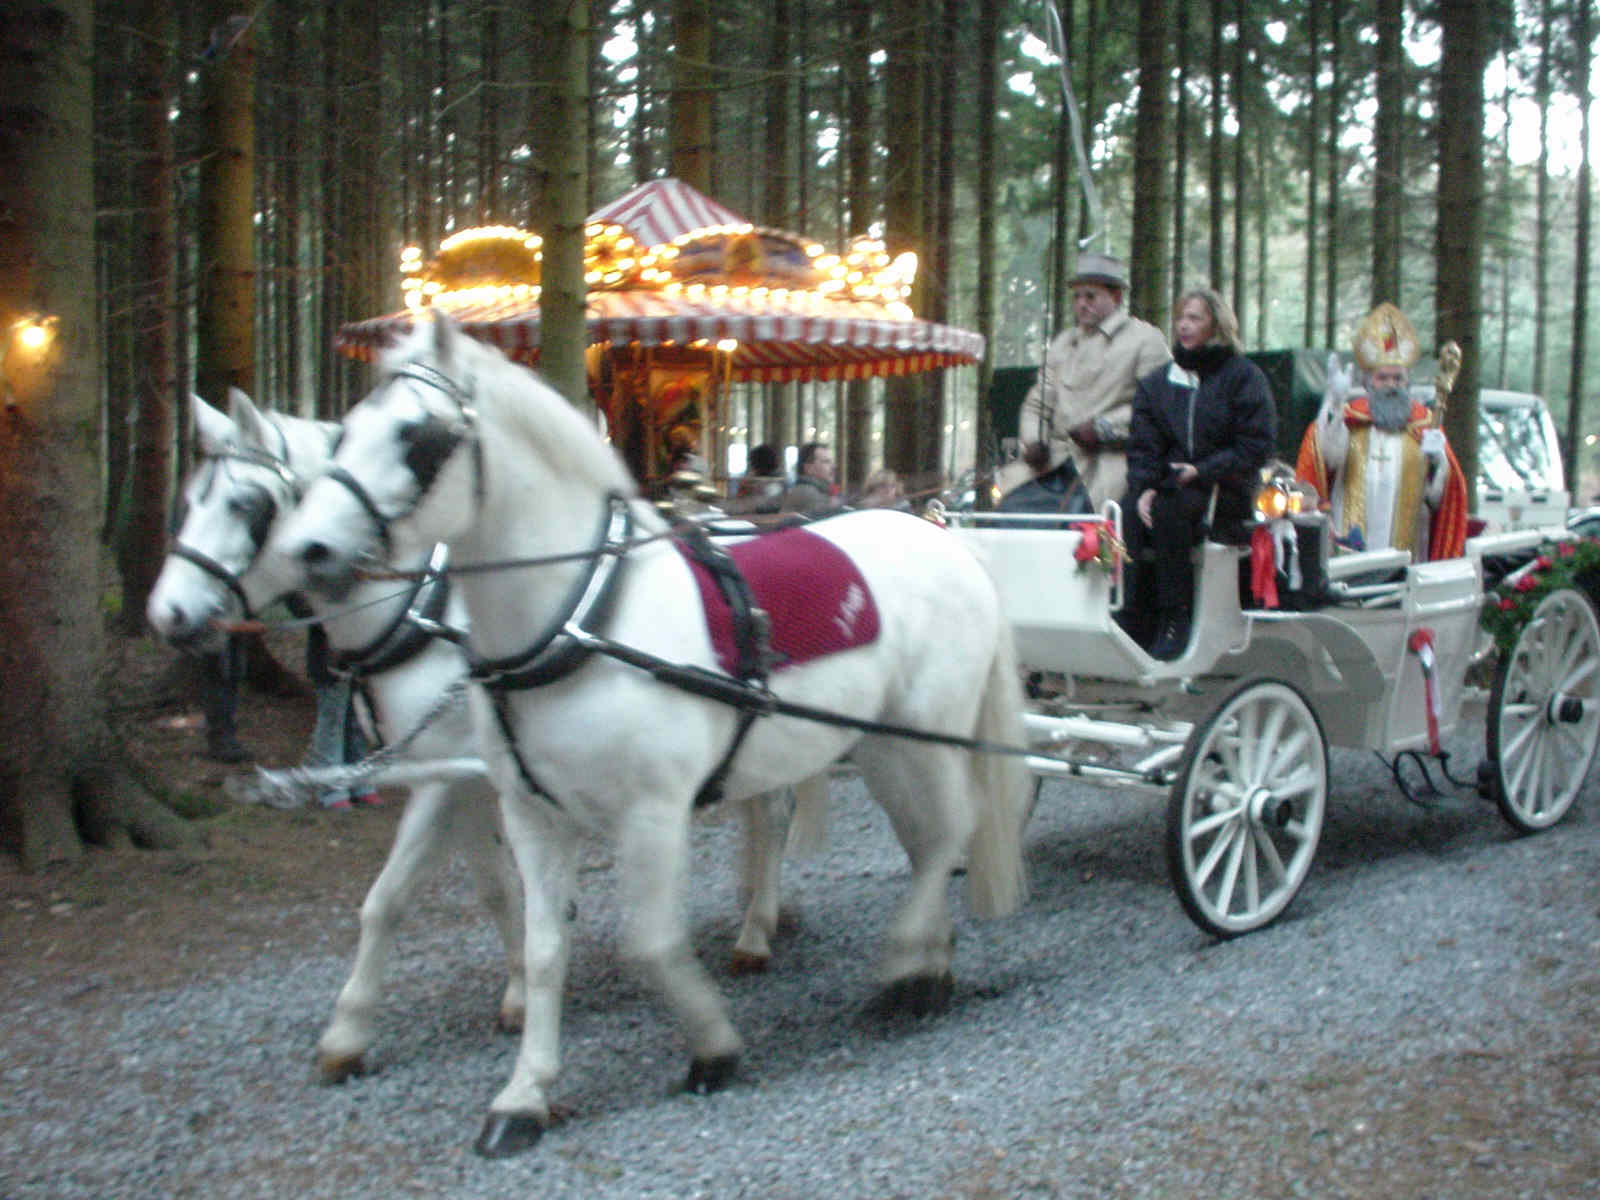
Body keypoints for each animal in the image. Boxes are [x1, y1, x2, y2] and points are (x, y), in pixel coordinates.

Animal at [268, 316, 1030, 1158]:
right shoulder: (532, 814)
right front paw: (523, 1094)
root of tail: (946, 540)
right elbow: (543, 949)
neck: (581, 618)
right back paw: (930, 963)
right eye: (346, 430)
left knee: (950, 833)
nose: (307, 551)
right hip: (880, 743)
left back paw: (902, 964)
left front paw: (713, 1045)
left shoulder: (654, 813)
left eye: (417, 437)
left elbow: (651, 943)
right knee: (928, 841)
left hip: (925, 734)